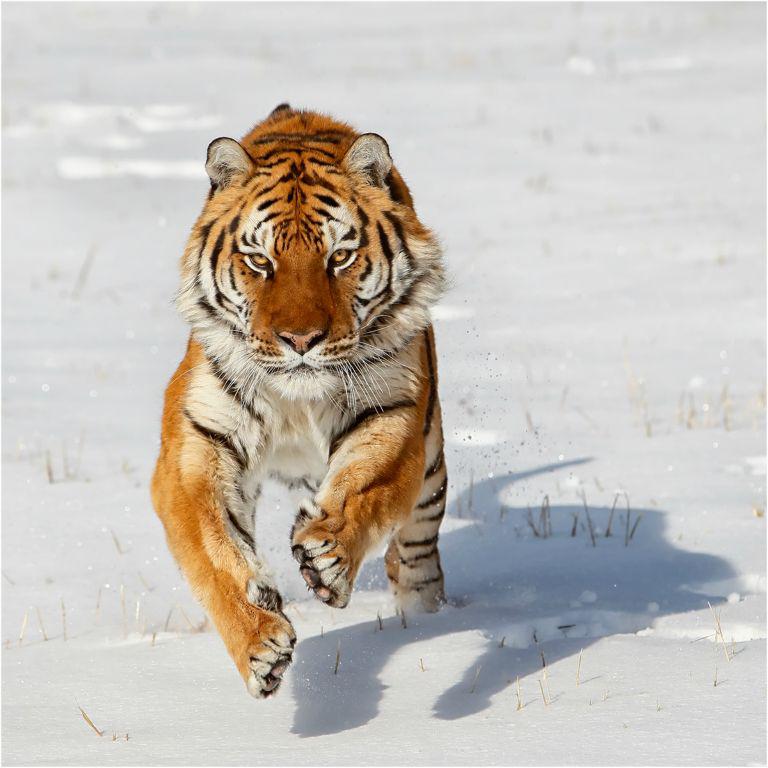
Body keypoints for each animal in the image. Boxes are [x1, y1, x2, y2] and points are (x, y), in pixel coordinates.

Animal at [151, 104, 448, 698]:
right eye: (260, 261)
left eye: (340, 256)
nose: (301, 339)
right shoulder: (196, 444)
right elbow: (213, 552)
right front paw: (258, 641)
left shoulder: (394, 412)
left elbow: (364, 487)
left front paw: (326, 555)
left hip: (431, 471)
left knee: (417, 555)